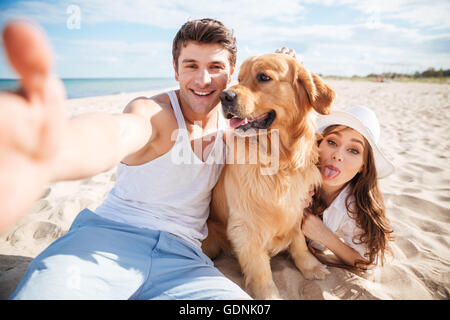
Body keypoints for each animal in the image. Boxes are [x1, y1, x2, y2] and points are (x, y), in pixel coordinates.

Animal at [202, 53, 336, 300]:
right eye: (239, 78)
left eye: (263, 77)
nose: (224, 96)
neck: (279, 161)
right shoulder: (246, 227)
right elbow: (260, 269)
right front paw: (269, 295)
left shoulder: (296, 208)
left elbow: (299, 242)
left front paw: (310, 266)